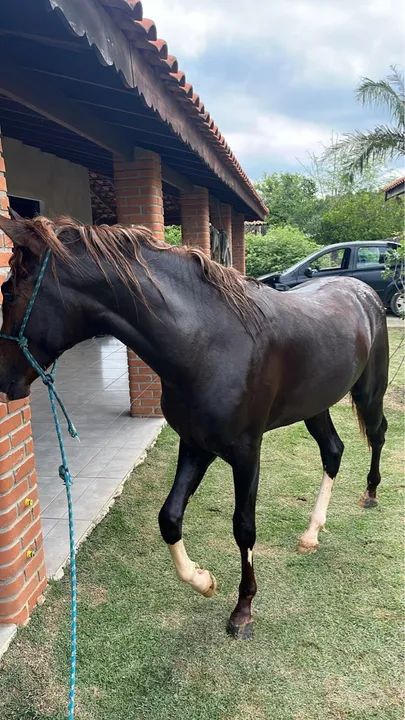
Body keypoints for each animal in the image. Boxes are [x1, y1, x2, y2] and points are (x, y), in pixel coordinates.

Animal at [0, 215, 389, 639]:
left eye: (8, 291)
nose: (4, 382)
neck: (207, 343)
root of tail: (363, 292)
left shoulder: (246, 454)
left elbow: (244, 528)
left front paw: (243, 609)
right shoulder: (195, 444)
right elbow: (169, 518)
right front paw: (204, 581)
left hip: (369, 394)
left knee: (377, 433)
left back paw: (370, 494)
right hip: (315, 407)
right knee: (333, 451)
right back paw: (311, 534)